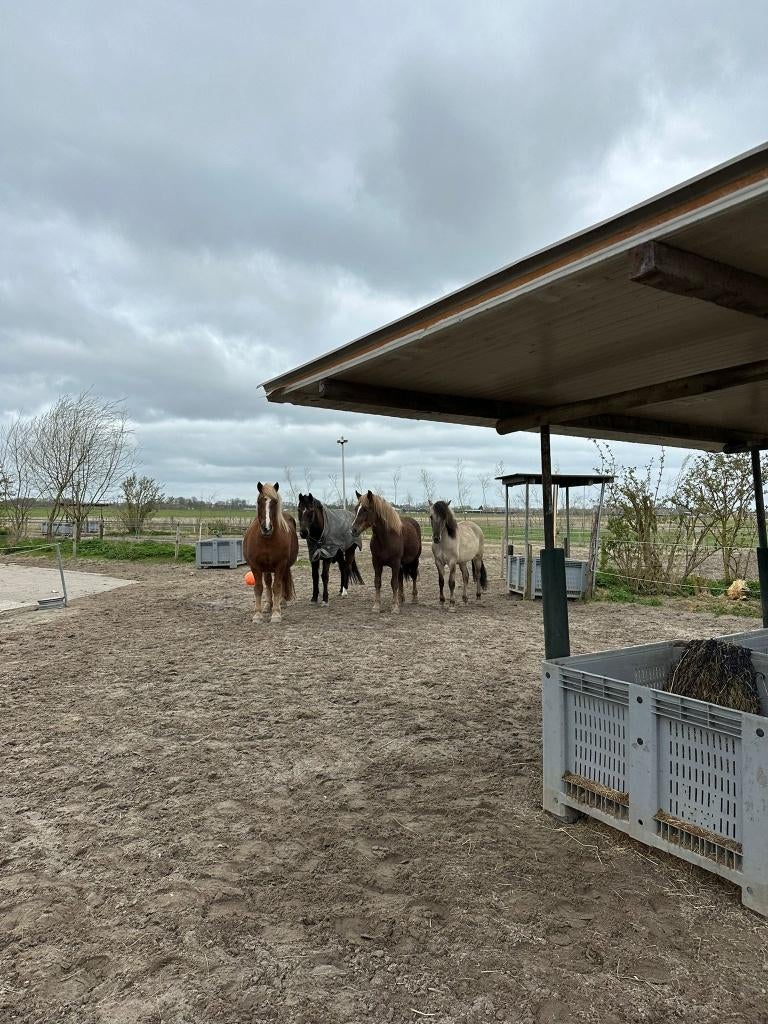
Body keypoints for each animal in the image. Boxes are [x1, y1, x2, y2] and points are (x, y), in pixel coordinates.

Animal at [243, 482, 299, 624]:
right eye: (259, 501)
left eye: (275, 502)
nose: (266, 528)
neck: (267, 540)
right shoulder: (255, 566)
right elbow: (258, 588)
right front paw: (257, 615)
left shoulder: (281, 564)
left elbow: (277, 586)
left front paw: (276, 614)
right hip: (266, 568)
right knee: (267, 583)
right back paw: (268, 605)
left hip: (283, 567)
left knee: (281, 582)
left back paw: (281, 602)